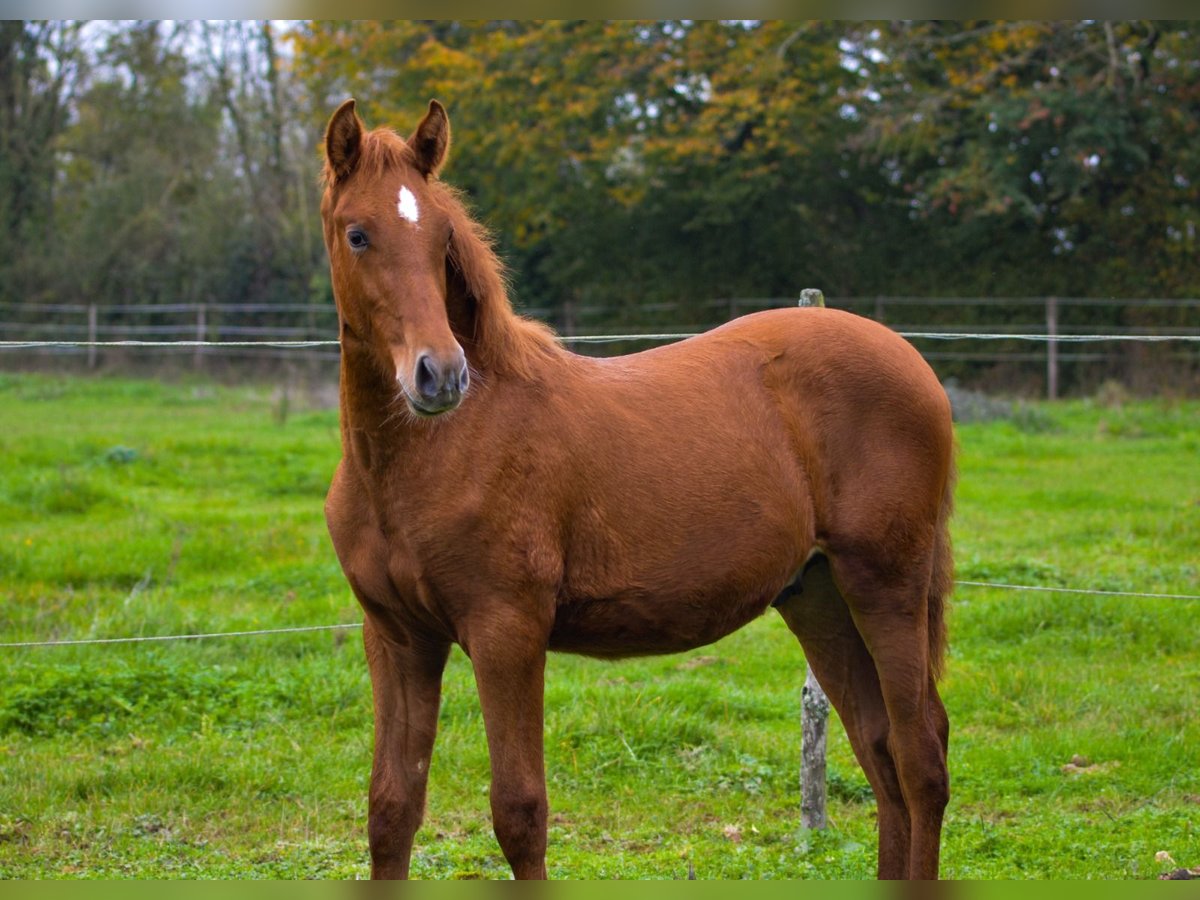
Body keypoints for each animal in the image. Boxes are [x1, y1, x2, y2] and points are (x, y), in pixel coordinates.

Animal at [319, 98, 955, 883]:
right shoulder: (398, 637)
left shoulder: (506, 631)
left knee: (922, 758)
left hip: (887, 585)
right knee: (881, 752)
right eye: (358, 234)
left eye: (441, 237)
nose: (439, 375)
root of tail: (913, 362)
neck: (427, 456)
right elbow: (391, 810)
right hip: (821, 598)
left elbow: (519, 815)